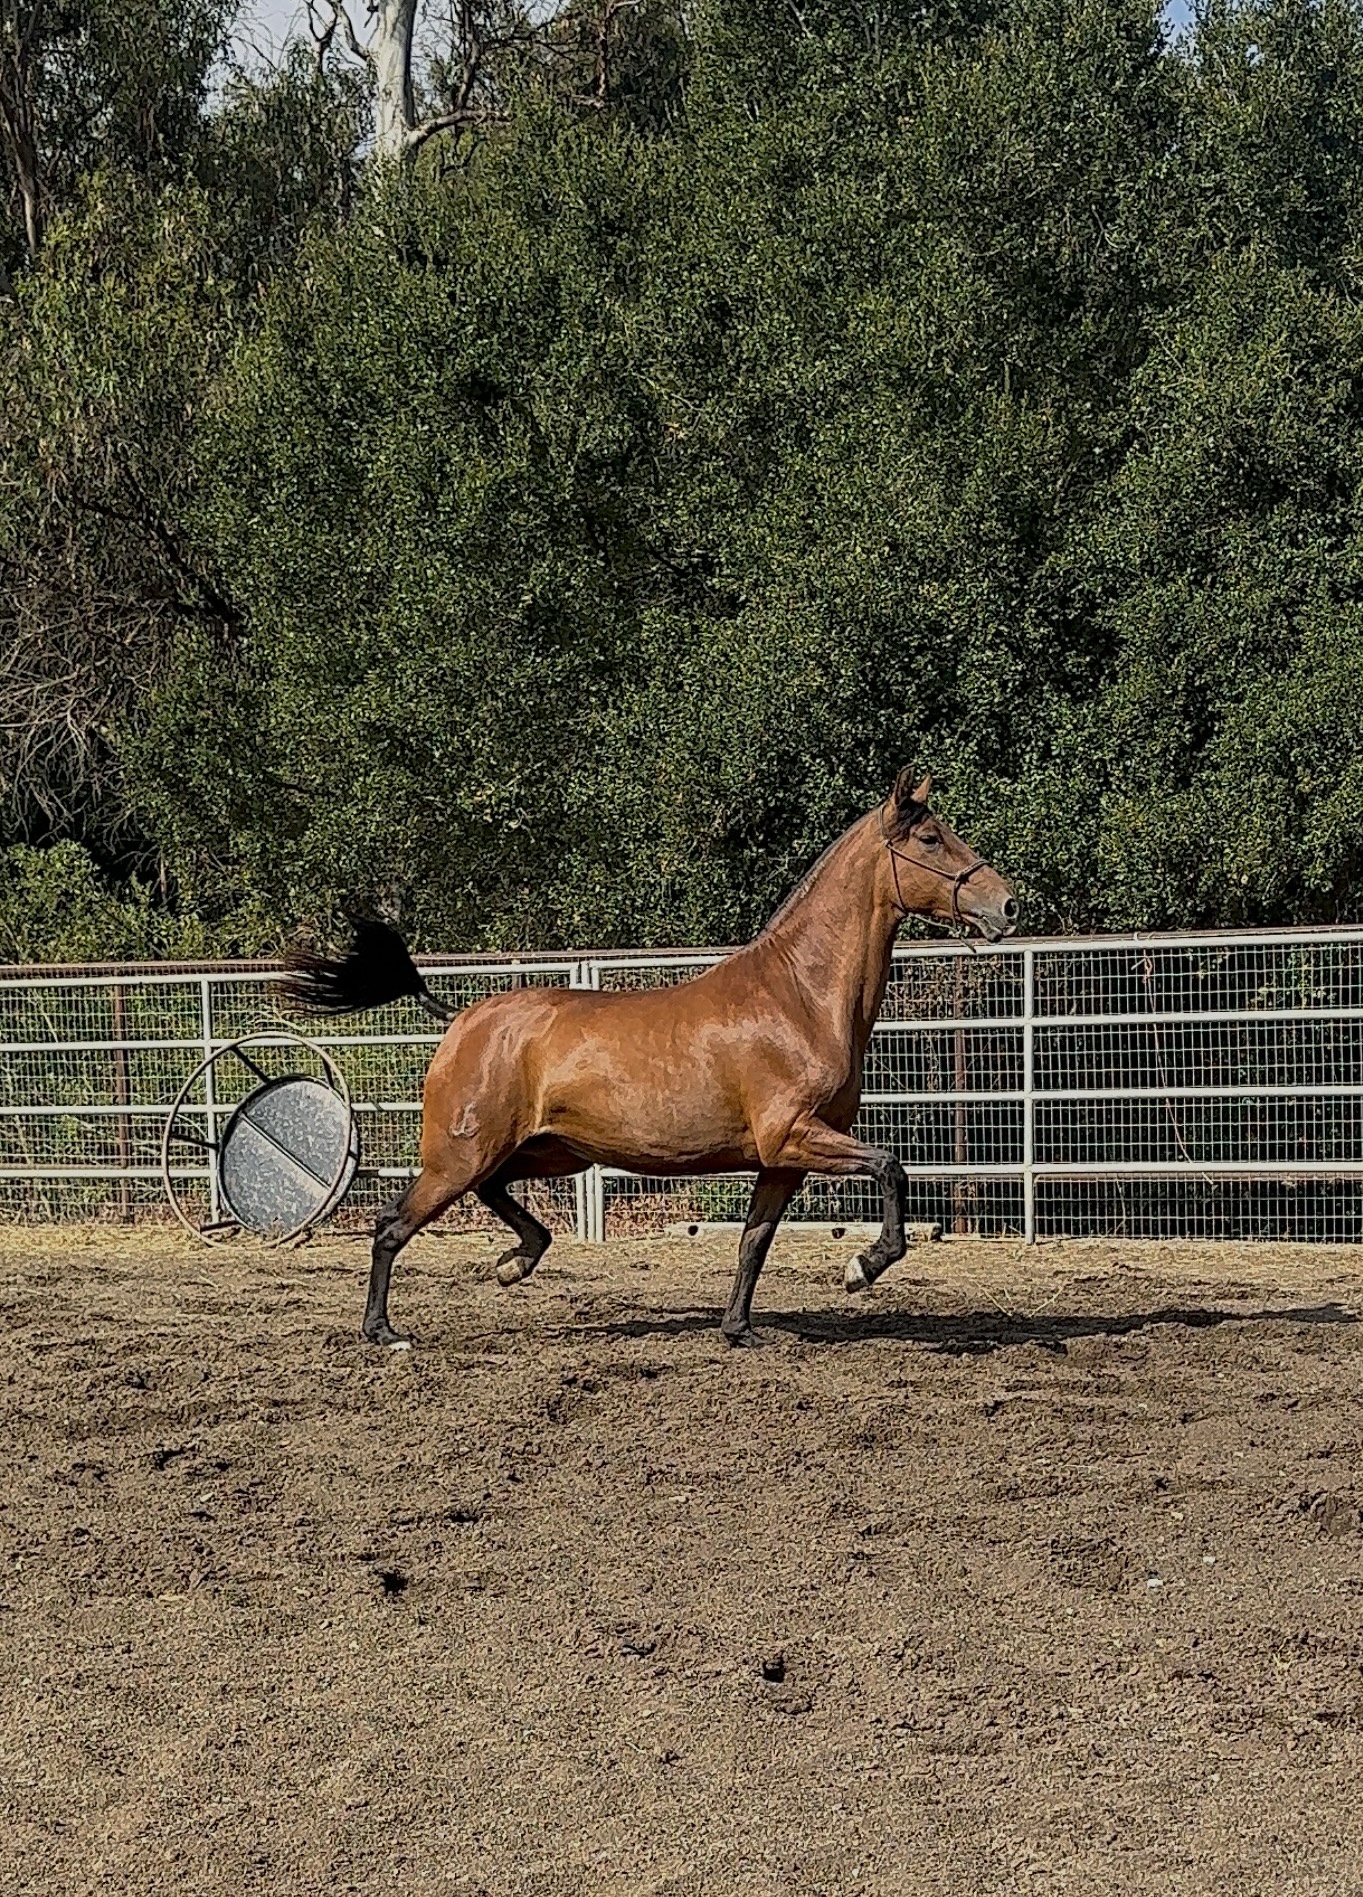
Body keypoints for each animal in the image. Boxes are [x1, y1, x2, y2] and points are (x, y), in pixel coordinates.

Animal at [280, 769, 1018, 1348]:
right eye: (931, 839)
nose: (1006, 906)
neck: (798, 998)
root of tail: (462, 1020)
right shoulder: (795, 1135)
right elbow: (891, 1167)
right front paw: (861, 1267)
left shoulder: (780, 1159)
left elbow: (753, 1240)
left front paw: (738, 1329)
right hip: (459, 1156)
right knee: (391, 1224)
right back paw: (385, 1331)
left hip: (547, 1152)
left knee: (493, 1198)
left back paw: (515, 1263)